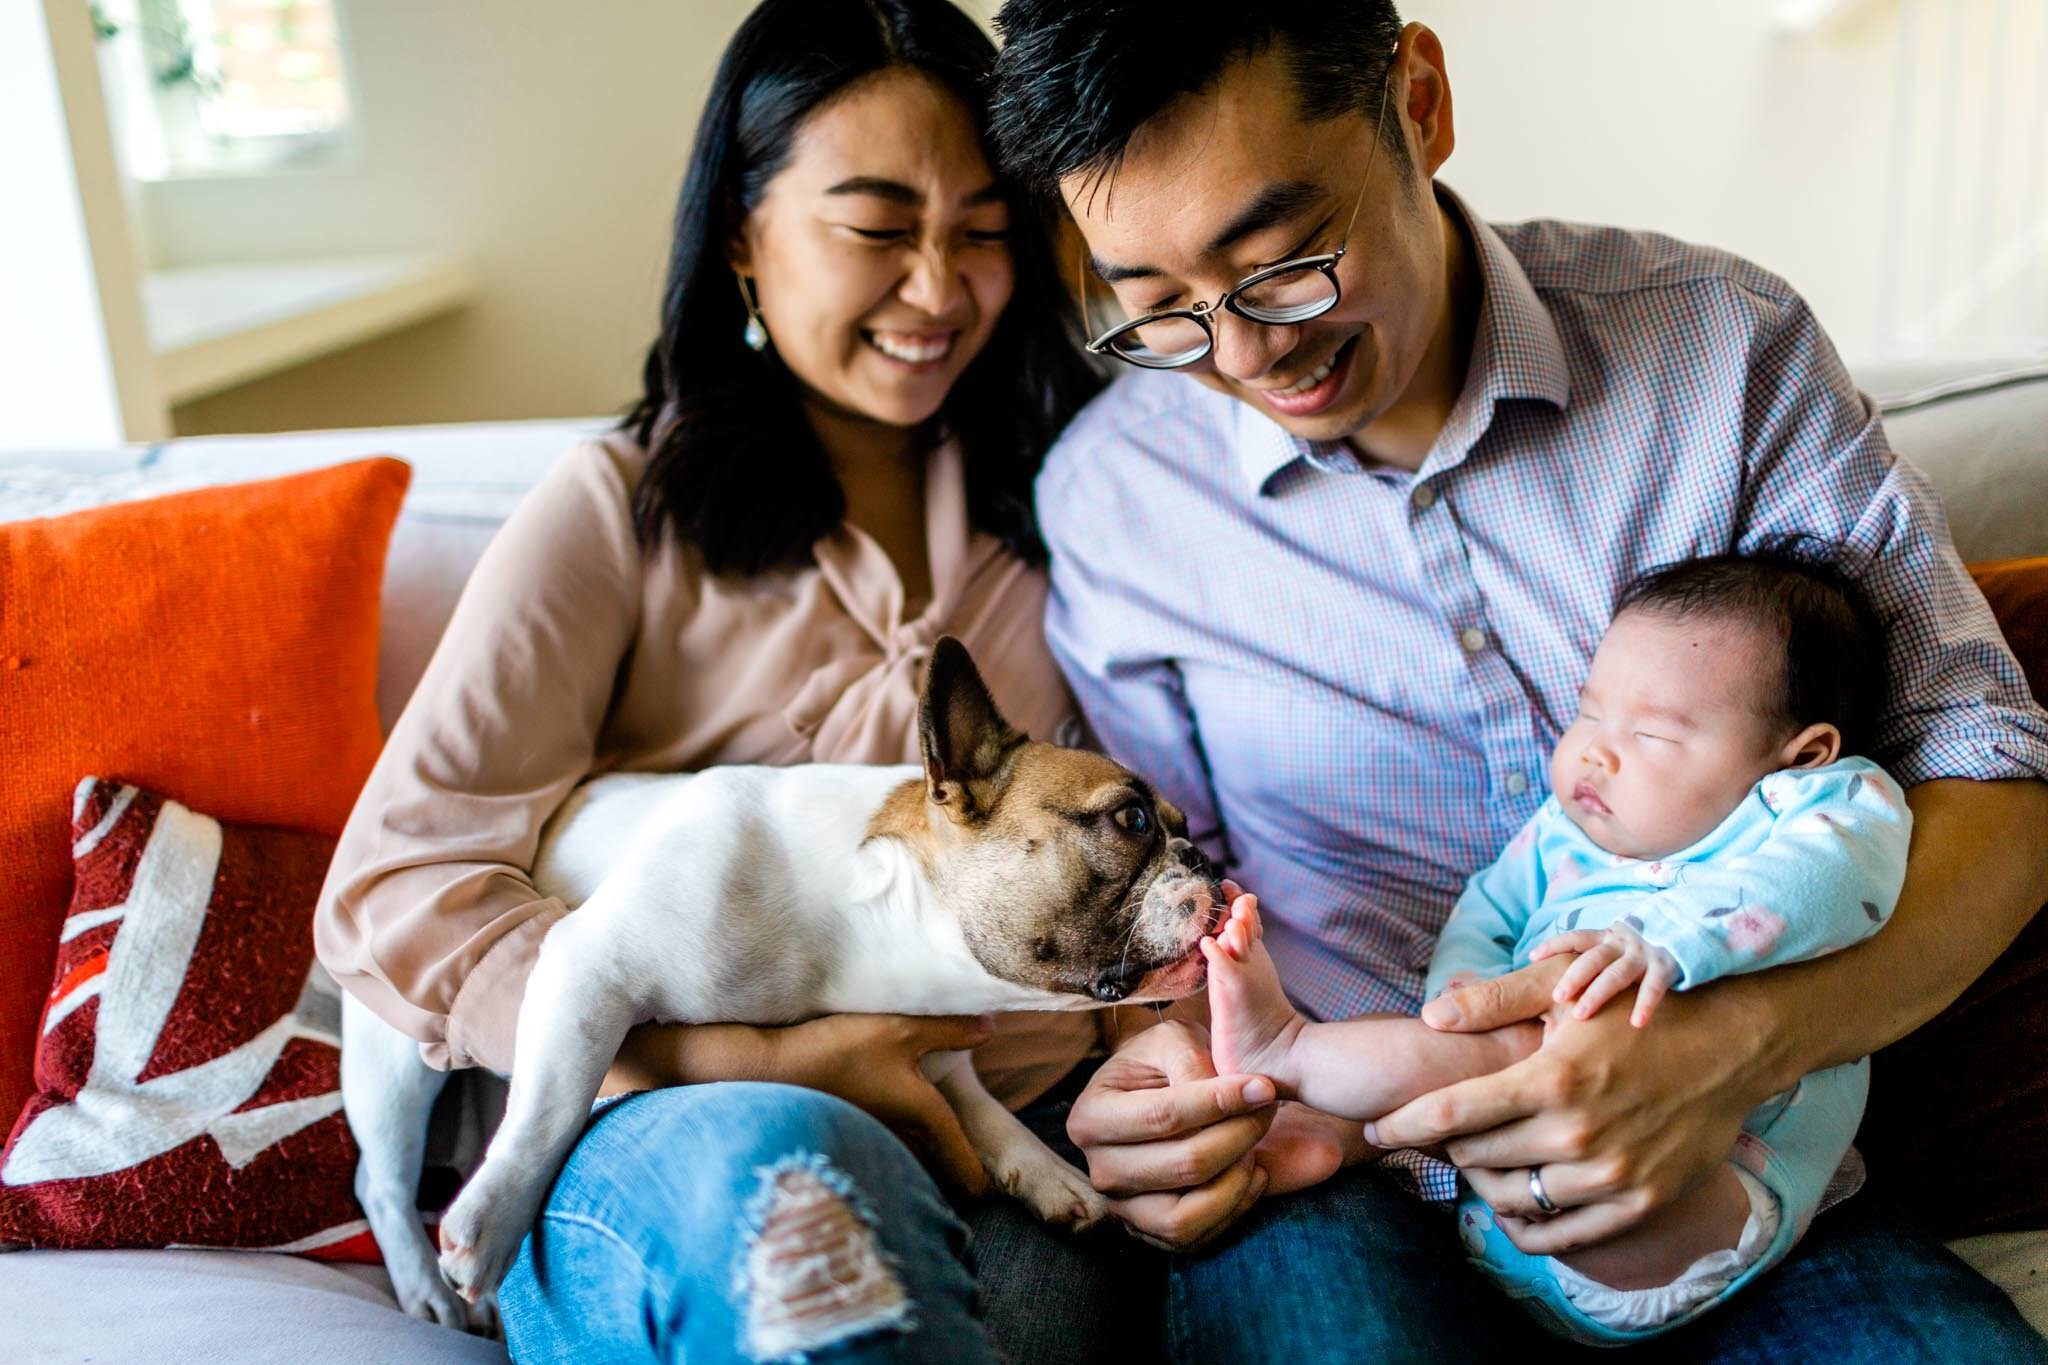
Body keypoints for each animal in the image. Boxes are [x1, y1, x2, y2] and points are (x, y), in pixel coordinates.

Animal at [344, 638, 1220, 1326]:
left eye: (1183, 827)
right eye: (1133, 820)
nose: (1209, 859)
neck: (871, 919)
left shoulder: (940, 1039)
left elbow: (977, 1100)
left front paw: (1045, 1170)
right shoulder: (593, 962)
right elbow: (550, 1109)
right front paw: (493, 1222)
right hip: (394, 1045)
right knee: (382, 1173)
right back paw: (427, 1285)